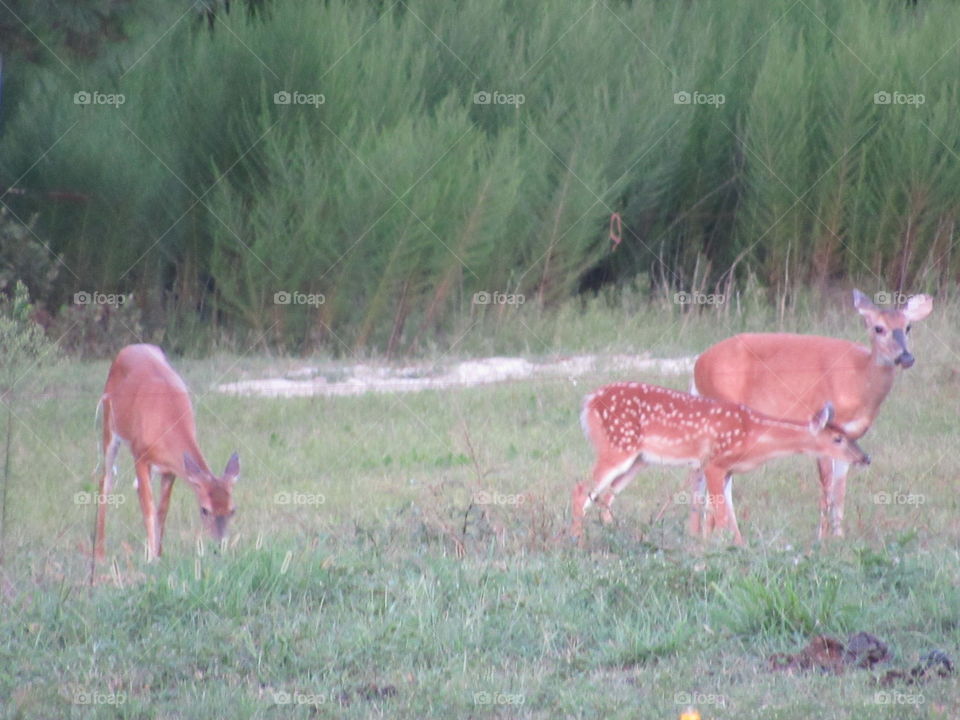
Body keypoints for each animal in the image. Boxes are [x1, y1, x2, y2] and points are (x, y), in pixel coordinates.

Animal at [94, 344, 239, 561]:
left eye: (232, 510)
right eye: (204, 510)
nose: (218, 546)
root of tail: (129, 348)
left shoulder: (170, 470)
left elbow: (162, 510)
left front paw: (158, 554)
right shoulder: (140, 455)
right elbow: (149, 509)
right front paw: (151, 559)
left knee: (134, 486)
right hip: (109, 426)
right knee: (106, 480)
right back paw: (99, 554)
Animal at [570, 382, 870, 544]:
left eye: (849, 434)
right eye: (838, 439)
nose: (865, 458)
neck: (753, 436)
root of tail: (587, 402)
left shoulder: (727, 470)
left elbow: (729, 513)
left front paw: (738, 546)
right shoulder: (713, 463)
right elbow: (723, 515)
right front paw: (725, 549)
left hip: (638, 459)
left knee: (605, 497)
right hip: (617, 446)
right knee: (581, 487)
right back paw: (578, 541)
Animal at [692, 290, 933, 539]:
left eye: (908, 327)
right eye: (878, 328)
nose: (906, 358)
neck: (858, 378)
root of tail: (699, 363)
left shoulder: (848, 438)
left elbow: (840, 491)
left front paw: (839, 537)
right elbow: (827, 488)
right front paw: (822, 538)